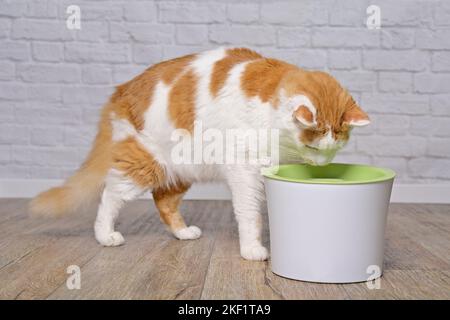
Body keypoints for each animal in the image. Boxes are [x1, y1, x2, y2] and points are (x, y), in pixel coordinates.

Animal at [30, 48, 370, 262]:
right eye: (313, 146)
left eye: (335, 150)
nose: (322, 165)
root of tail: (120, 90)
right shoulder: (244, 171)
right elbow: (250, 213)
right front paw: (252, 249)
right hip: (144, 164)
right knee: (110, 195)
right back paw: (105, 235)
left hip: (183, 169)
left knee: (163, 201)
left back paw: (183, 232)